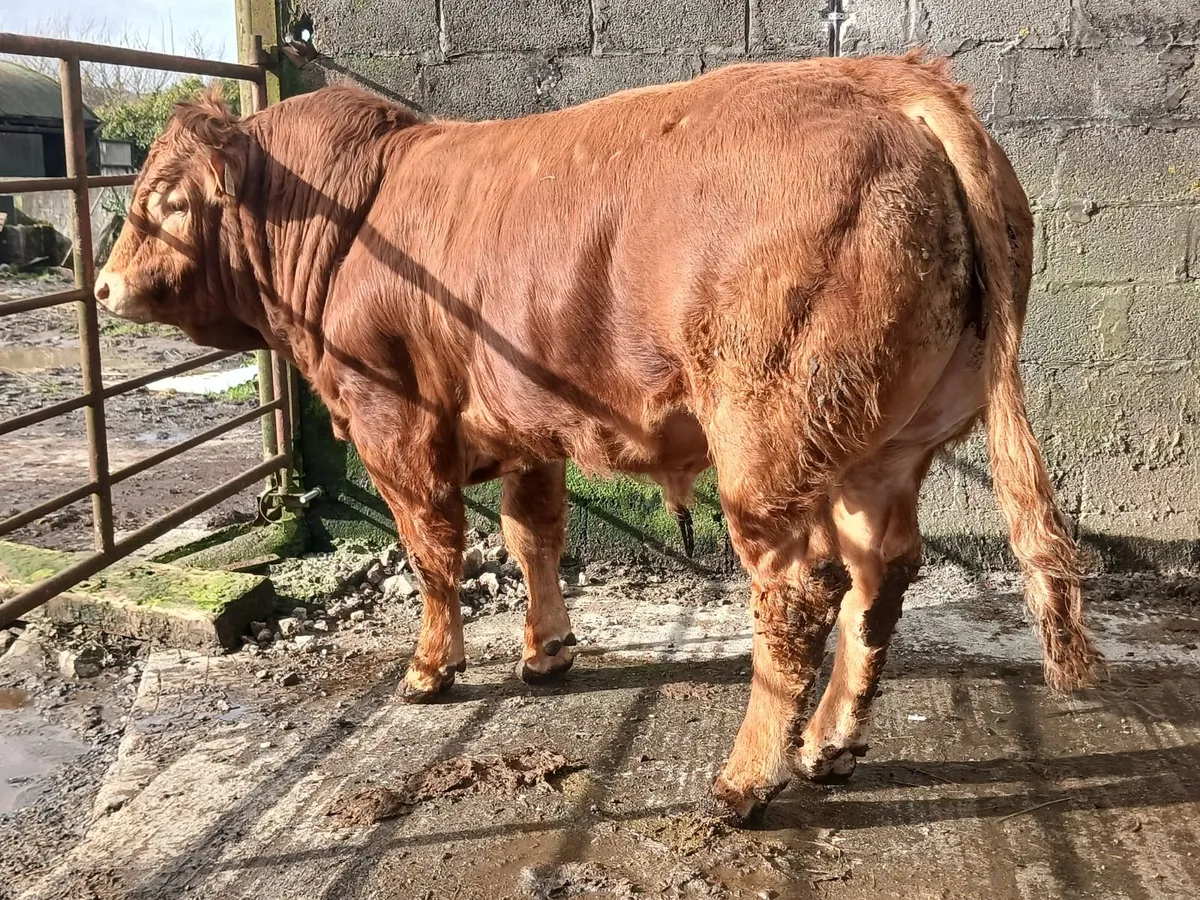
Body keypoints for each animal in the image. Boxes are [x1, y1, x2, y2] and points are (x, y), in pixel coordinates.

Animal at [94, 50, 1100, 822]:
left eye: (167, 198)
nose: (101, 287)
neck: (348, 217)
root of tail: (887, 79)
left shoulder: (395, 424)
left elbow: (434, 551)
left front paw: (431, 671)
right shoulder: (525, 423)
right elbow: (533, 534)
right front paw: (546, 653)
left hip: (767, 440)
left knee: (797, 594)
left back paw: (745, 782)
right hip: (885, 447)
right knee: (877, 578)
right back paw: (828, 747)